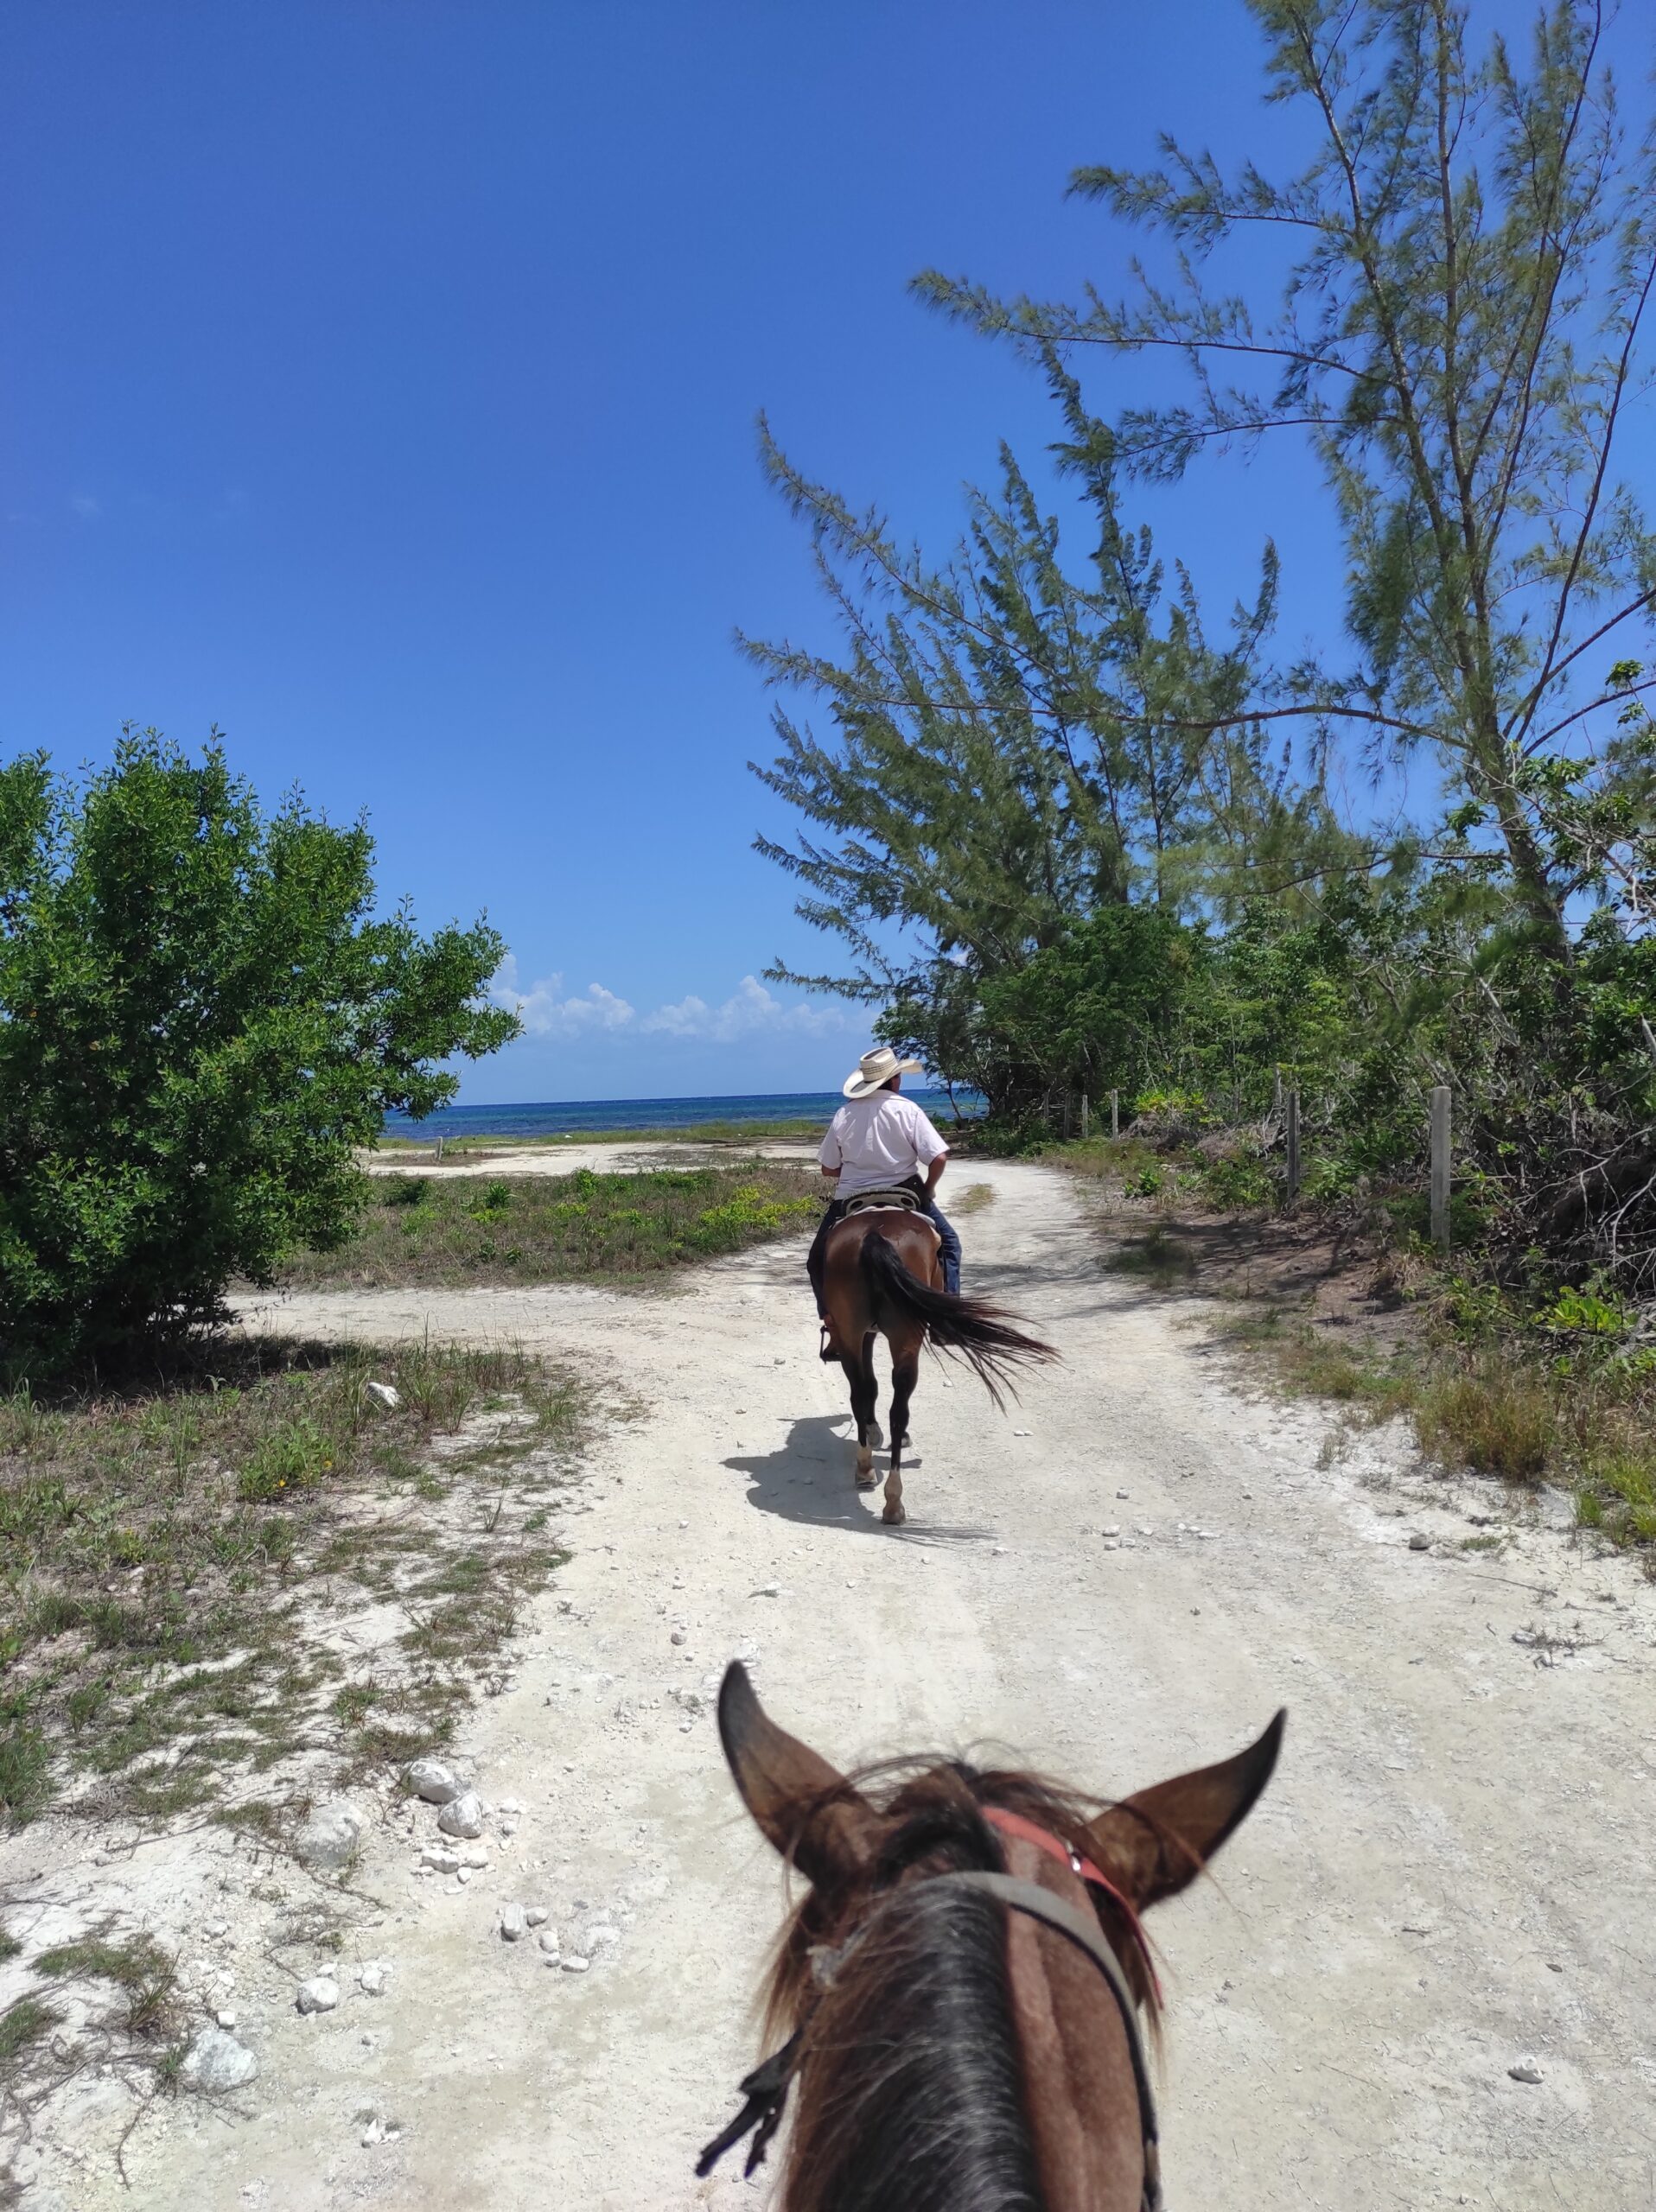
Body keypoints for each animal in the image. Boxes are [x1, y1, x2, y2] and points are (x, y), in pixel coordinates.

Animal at [818, 1203, 1062, 1530]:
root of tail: (873, 1234)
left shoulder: (862, 1335)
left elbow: (869, 1387)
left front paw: (871, 1432)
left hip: (851, 1332)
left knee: (861, 1395)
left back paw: (866, 1471)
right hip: (902, 1338)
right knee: (898, 1411)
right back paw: (893, 1500)